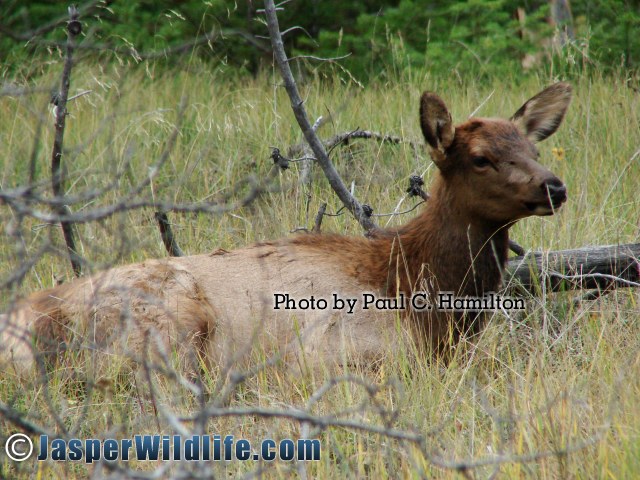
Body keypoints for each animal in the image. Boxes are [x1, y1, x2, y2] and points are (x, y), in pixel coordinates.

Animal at [0, 81, 568, 376]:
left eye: (532, 148)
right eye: (480, 158)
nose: (554, 187)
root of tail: (22, 325)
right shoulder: (339, 353)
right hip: (164, 327)